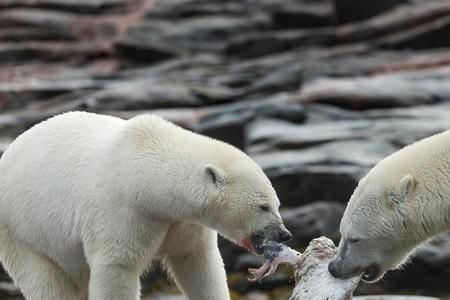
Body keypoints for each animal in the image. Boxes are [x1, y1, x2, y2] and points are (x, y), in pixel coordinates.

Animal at [0, 112, 292, 300]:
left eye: (277, 203)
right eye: (263, 206)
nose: (284, 234)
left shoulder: (181, 221)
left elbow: (197, 261)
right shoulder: (121, 210)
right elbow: (117, 266)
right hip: (23, 234)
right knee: (47, 283)